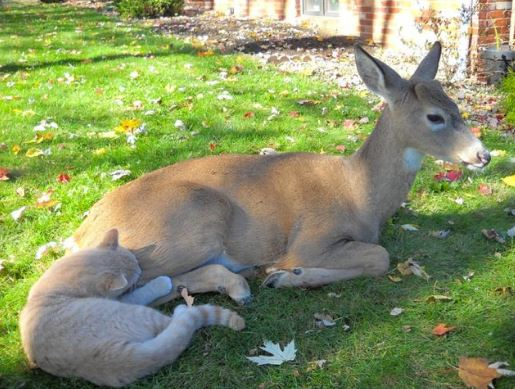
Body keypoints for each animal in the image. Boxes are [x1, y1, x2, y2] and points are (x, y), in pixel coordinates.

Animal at [19, 229, 245, 386]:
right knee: (178, 323)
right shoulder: (127, 299)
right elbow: (144, 292)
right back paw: (181, 309)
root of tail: (112, 359)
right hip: (142, 314)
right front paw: (162, 281)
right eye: (135, 278)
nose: (141, 271)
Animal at [73, 41, 492, 304]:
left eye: (456, 106)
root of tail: (81, 234)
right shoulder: (310, 238)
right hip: (191, 221)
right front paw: (286, 275)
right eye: (435, 117)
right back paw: (240, 282)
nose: (483, 155)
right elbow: (379, 257)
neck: (361, 193)